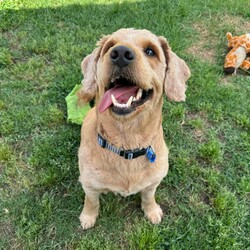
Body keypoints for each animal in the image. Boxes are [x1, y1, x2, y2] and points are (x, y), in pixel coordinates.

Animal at [77, 28, 190, 229]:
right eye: (109, 46)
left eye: (151, 51)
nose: (120, 53)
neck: (127, 141)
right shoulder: (89, 185)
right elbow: (91, 201)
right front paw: (88, 217)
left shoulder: (153, 182)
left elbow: (148, 197)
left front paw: (152, 211)